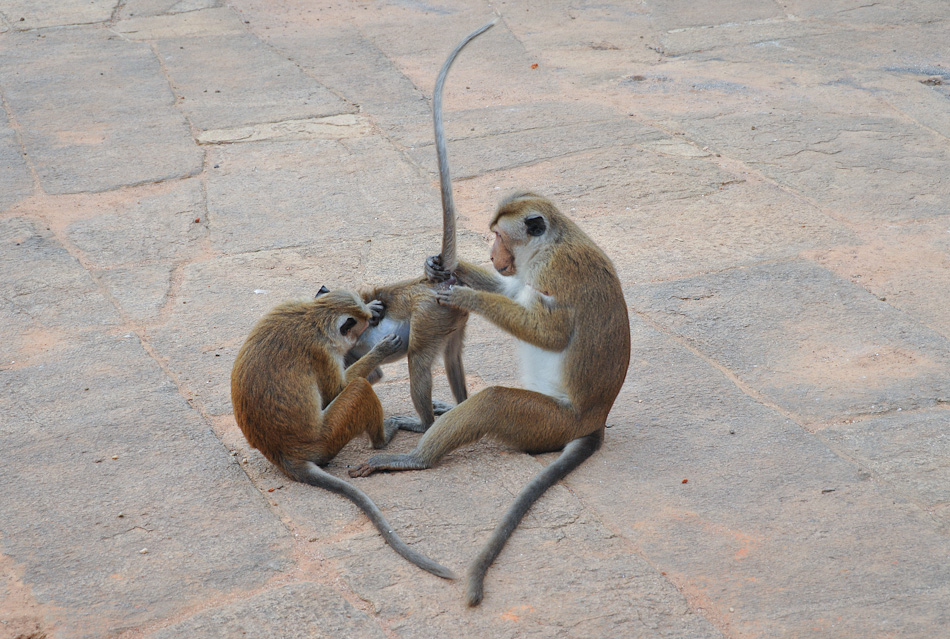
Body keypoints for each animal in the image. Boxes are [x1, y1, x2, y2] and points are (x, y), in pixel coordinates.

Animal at [230, 290, 454, 580]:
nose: (370, 324)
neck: (314, 316)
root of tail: (282, 454)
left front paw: (372, 307)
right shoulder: (323, 352)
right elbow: (337, 390)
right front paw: (380, 349)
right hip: (327, 438)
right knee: (359, 388)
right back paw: (383, 439)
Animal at [346, 18, 502, 436]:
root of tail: (428, 287)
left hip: (430, 315)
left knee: (417, 357)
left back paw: (425, 425)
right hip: (450, 316)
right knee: (450, 356)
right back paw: (458, 409)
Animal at [350, 192, 632, 608]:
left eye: (499, 235)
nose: (492, 251)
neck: (548, 244)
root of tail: (595, 421)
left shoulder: (552, 272)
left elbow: (550, 333)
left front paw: (466, 294)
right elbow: (510, 292)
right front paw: (439, 266)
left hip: (550, 422)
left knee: (494, 401)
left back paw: (416, 458)